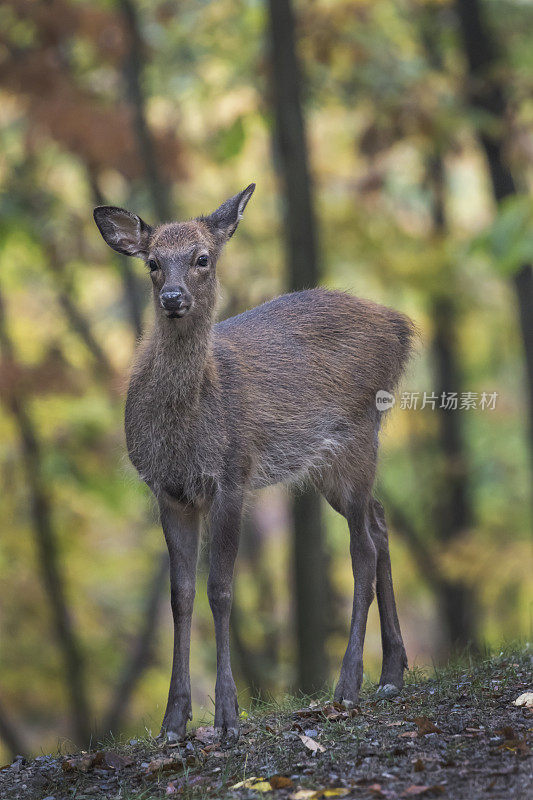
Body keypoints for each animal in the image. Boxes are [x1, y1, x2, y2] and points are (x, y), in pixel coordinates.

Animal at [92, 184, 412, 740]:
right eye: (152, 262)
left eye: (202, 258)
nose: (173, 299)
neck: (186, 428)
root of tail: (401, 327)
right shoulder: (169, 491)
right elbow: (180, 595)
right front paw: (174, 719)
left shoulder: (233, 475)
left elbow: (220, 589)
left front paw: (227, 715)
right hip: (328, 462)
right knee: (380, 520)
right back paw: (392, 672)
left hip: (356, 437)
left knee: (364, 548)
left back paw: (349, 684)